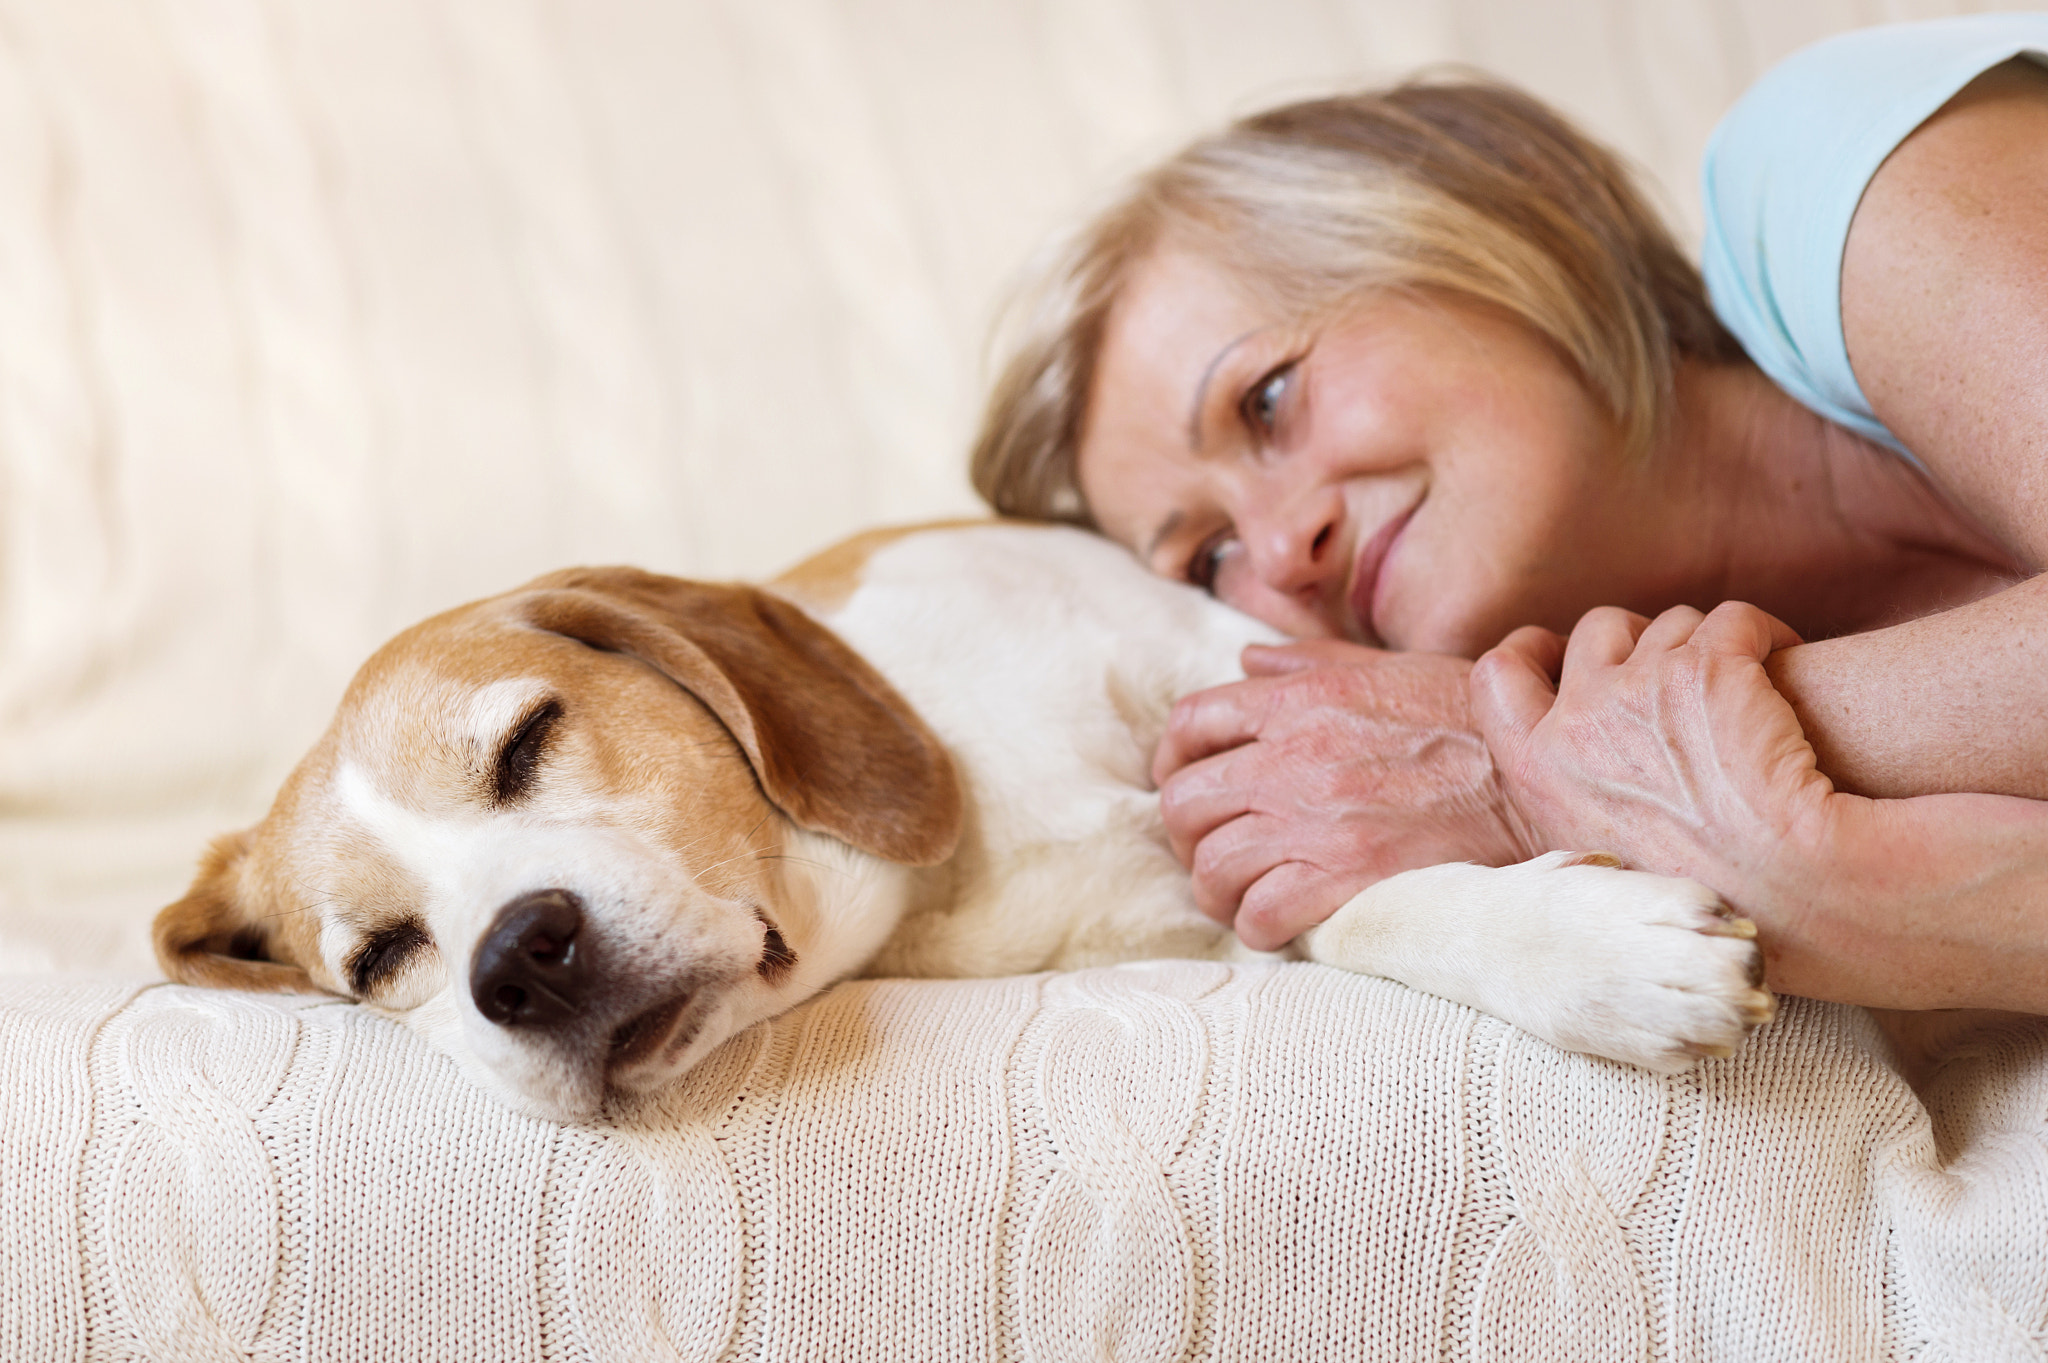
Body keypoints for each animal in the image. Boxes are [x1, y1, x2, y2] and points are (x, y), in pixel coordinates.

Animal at [151, 519, 1769, 1113]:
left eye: (529, 738)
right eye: (382, 958)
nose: (516, 957)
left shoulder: (1220, 668)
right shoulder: (1214, 916)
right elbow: (1350, 903)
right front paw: (1591, 950)